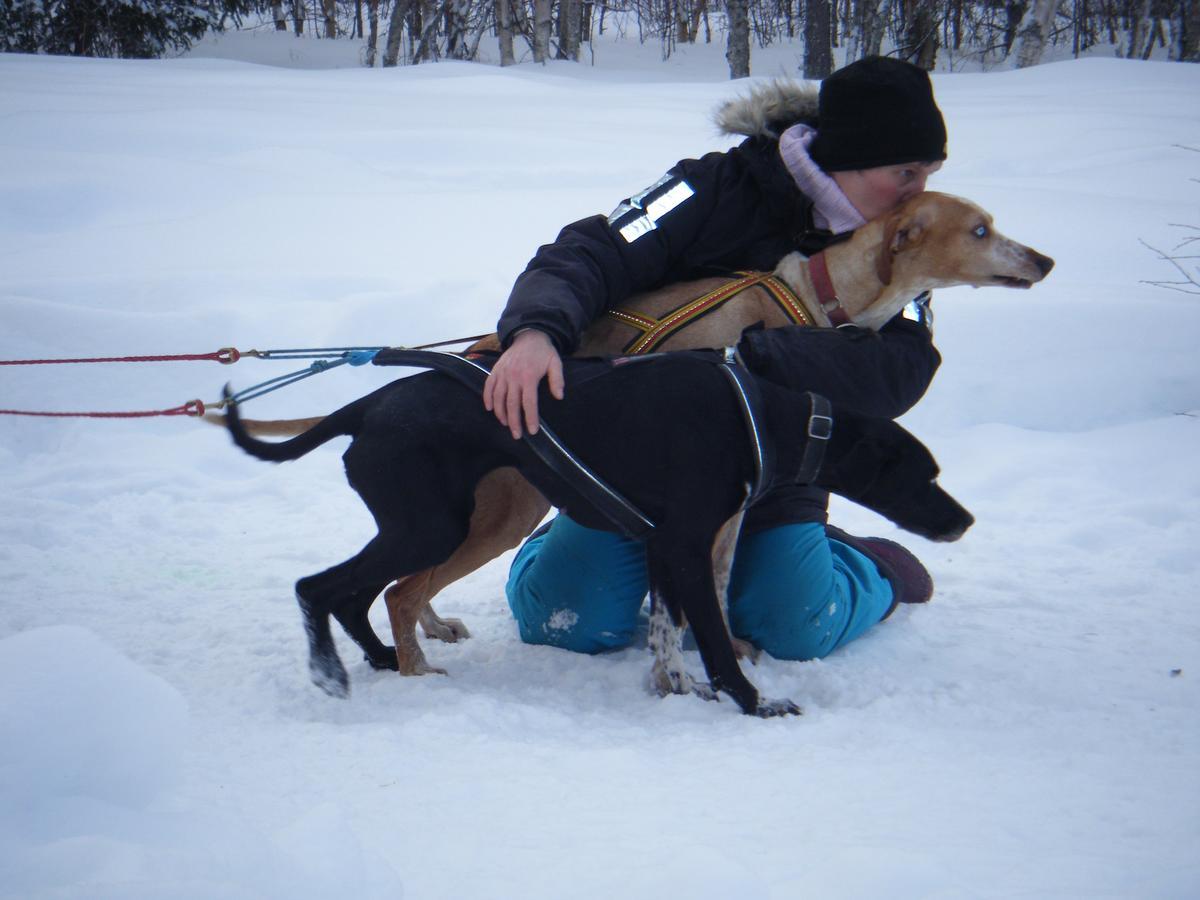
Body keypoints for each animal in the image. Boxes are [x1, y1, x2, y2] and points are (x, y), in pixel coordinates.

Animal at [211, 195, 1056, 676]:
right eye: (981, 228)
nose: (1045, 257)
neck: (812, 294)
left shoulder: (718, 512)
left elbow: (709, 587)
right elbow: (697, 592)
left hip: (476, 517)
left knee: (401, 586)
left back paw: (425, 634)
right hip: (491, 515)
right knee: (395, 586)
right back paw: (410, 659)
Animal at [226, 352, 974, 720]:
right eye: (926, 474)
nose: (963, 520)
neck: (763, 419)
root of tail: (365, 405)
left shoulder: (665, 547)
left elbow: (668, 633)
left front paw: (678, 688)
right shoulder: (686, 547)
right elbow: (712, 642)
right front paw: (755, 703)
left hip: (430, 528)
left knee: (357, 593)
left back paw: (383, 660)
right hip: (429, 528)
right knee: (321, 586)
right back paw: (333, 671)